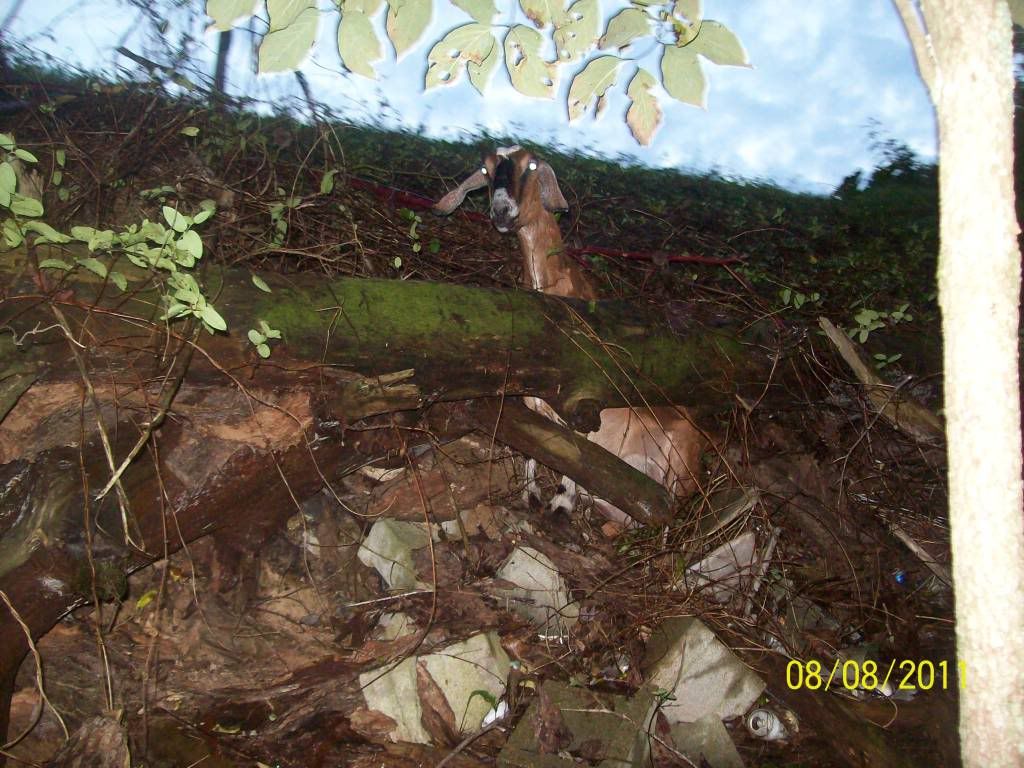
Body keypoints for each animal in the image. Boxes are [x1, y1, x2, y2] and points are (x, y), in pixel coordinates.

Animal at [434, 146, 705, 524]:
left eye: (531, 165)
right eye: (486, 170)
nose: (501, 210)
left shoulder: (586, 397)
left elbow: (579, 450)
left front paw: (561, 504)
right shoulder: (534, 400)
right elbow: (535, 444)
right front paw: (531, 494)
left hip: (681, 459)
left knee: (668, 514)